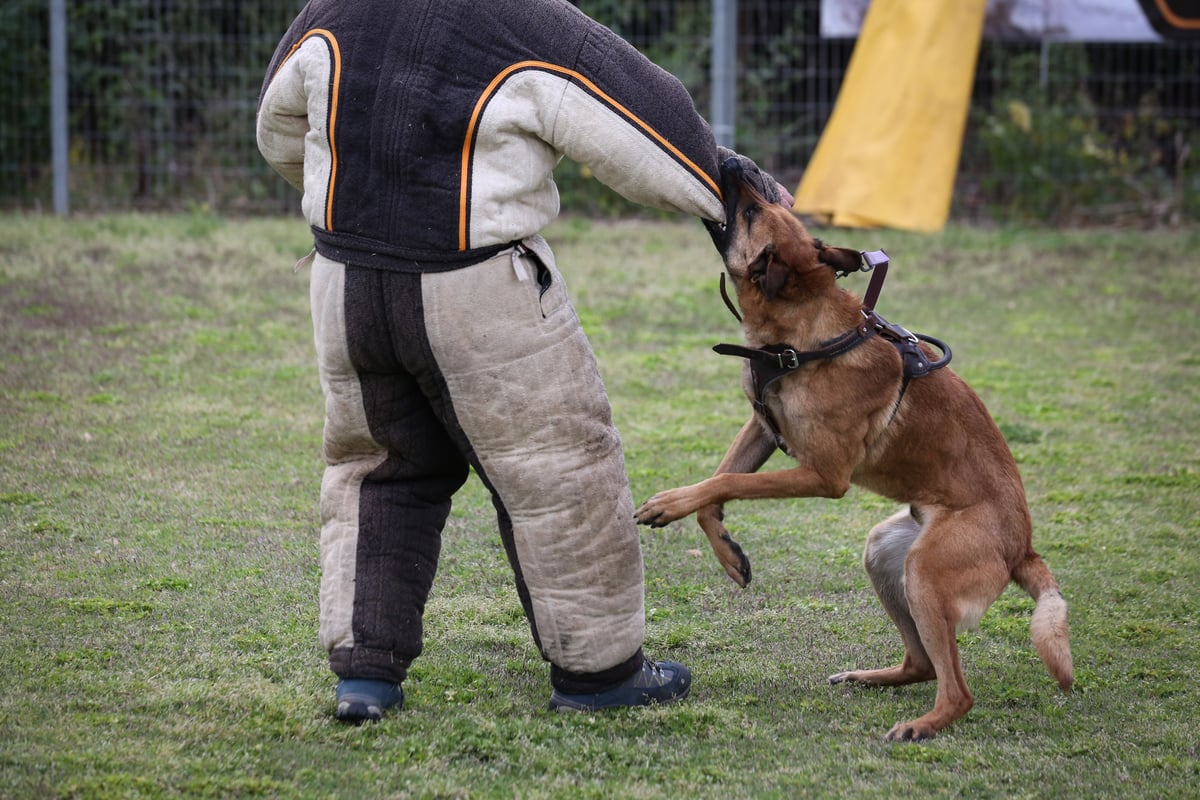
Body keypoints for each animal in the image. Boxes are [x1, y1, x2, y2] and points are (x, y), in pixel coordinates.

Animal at [633, 159, 1075, 743]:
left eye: (749, 211)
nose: (735, 162)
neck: (803, 334)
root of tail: (1023, 547)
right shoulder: (760, 426)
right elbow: (716, 485)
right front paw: (728, 553)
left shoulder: (824, 475)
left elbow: (725, 481)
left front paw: (668, 505)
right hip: (887, 555)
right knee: (923, 663)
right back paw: (871, 677)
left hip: (925, 574)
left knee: (958, 690)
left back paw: (922, 725)